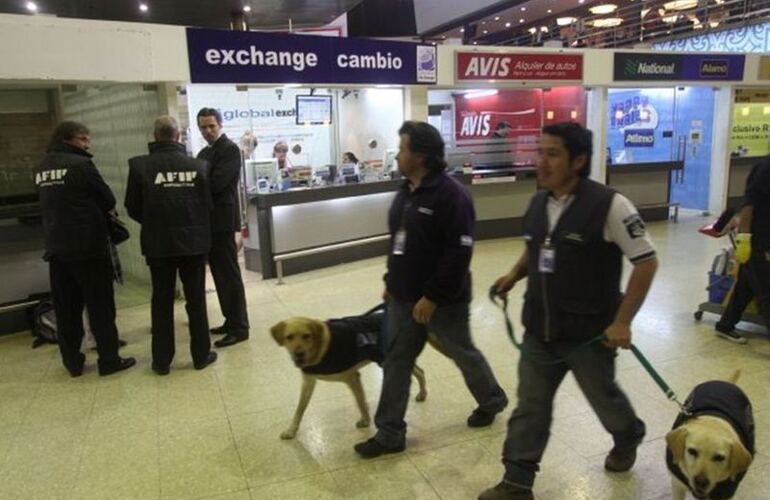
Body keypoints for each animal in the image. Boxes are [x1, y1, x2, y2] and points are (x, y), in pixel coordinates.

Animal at [270, 316, 436, 438]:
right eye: (289, 337)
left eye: (306, 336)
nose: (298, 354)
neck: (320, 350)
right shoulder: (308, 382)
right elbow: (299, 409)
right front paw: (291, 430)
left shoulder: (352, 378)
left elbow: (360, 401)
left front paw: (365, 420)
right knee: (420, 371)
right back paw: (422, 394)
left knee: (419, 372)